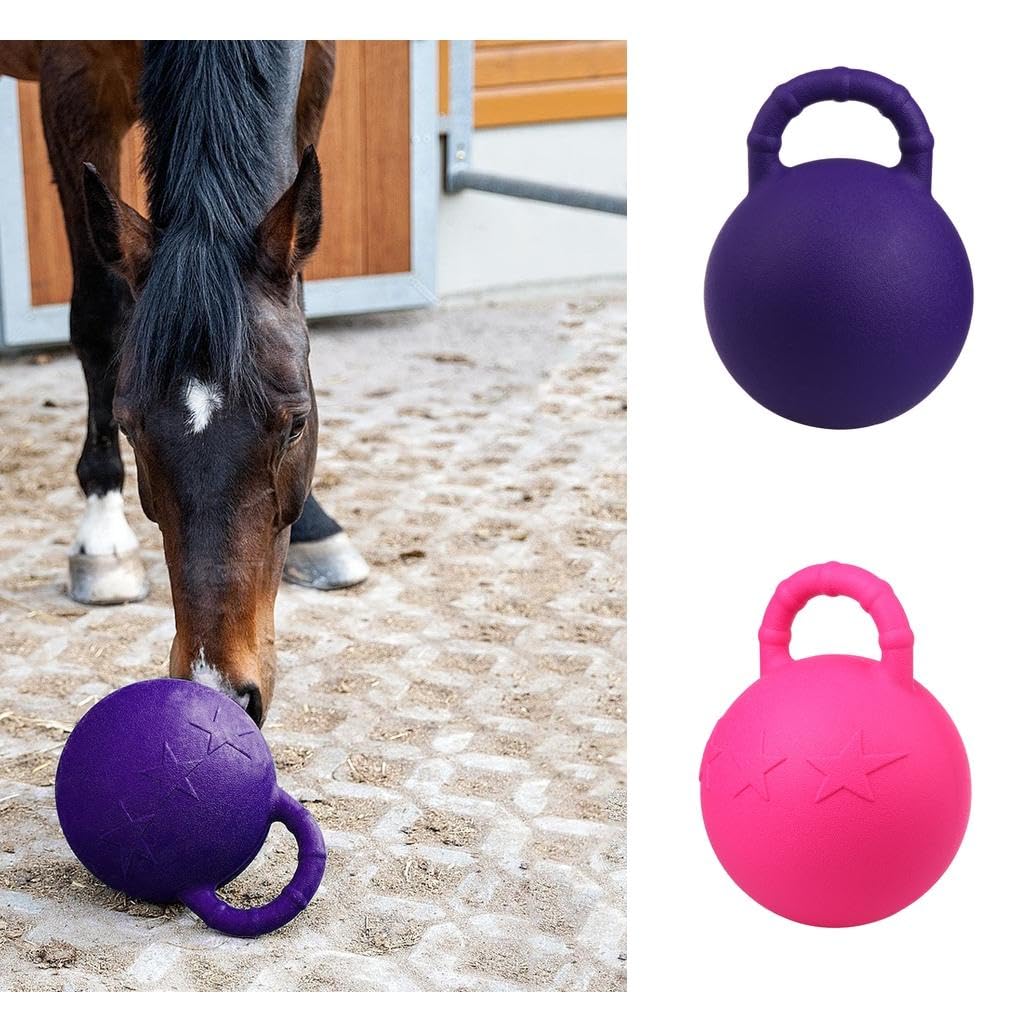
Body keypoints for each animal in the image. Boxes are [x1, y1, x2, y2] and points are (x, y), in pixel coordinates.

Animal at [0, 41, 369, 725]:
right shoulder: (76, 88)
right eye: (128, 427)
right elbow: (99, 314)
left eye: (298, 423)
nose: (219, 688)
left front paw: (315, 526)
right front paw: (103, 531)